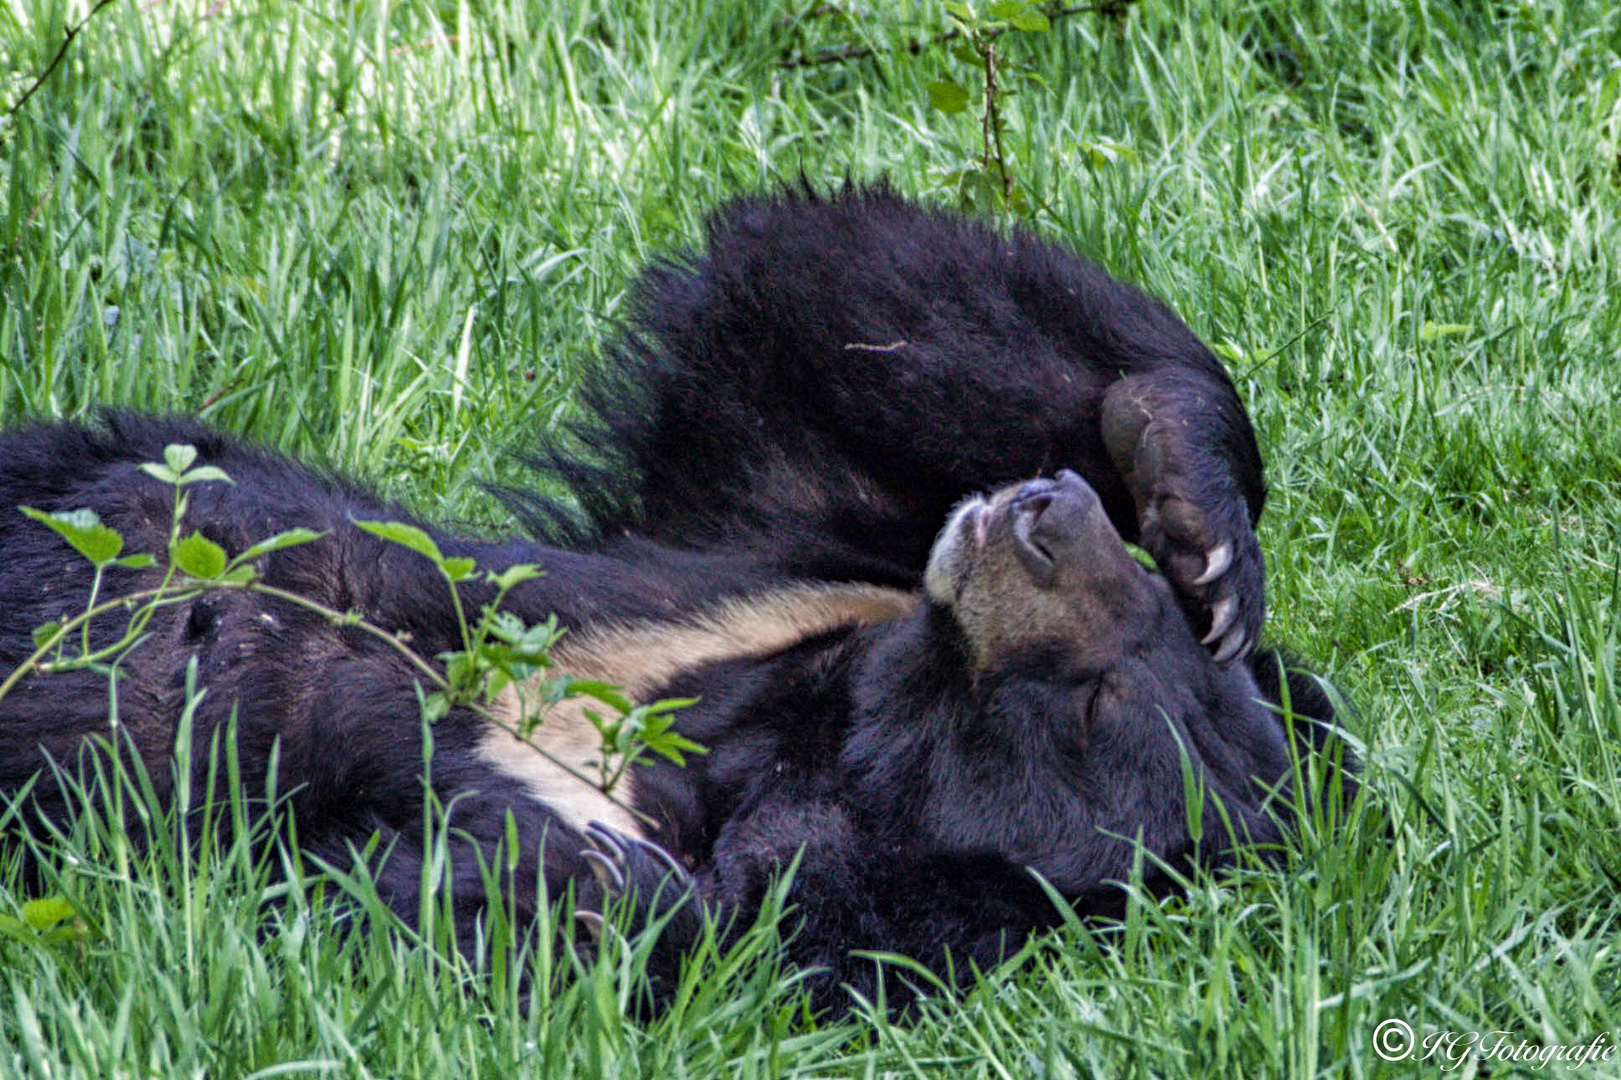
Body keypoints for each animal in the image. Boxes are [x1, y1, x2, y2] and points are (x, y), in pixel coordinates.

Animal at [0, 183, 1348, 1011]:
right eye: (1154, 617)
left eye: (1097, 709)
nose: (1046, 515)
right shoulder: (773, 558)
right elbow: (809, 314)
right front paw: (1194, 498)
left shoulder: (749, 900)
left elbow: (456, 928)